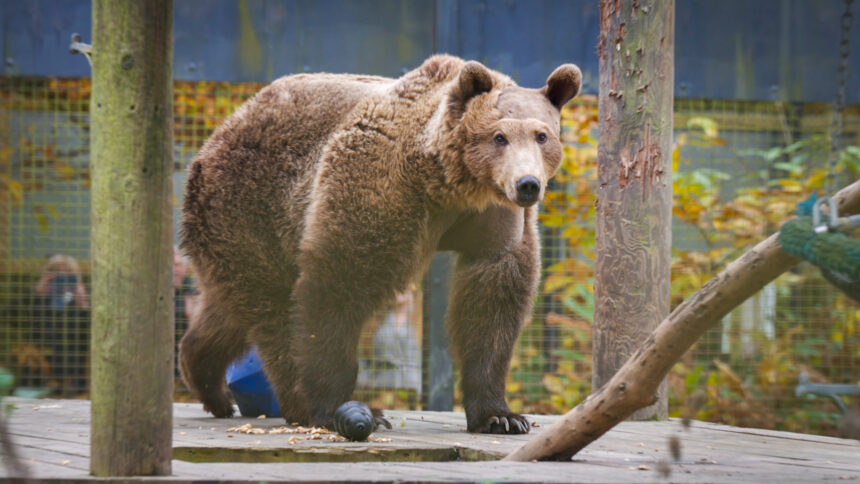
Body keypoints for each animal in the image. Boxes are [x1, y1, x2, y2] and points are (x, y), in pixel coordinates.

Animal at [181, 54, 584, 432]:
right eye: (499, 136)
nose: (528, 184)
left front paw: (501, 416)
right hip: (250, 206)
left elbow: (492, 302)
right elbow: (338, 286)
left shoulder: (491, 218)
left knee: (230, 309)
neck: (448, 184)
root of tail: (216, 136)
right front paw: (338, 407)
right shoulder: (381, 189)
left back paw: (206, 378)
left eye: (542, 136)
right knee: (273, 310)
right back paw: (295, 403)